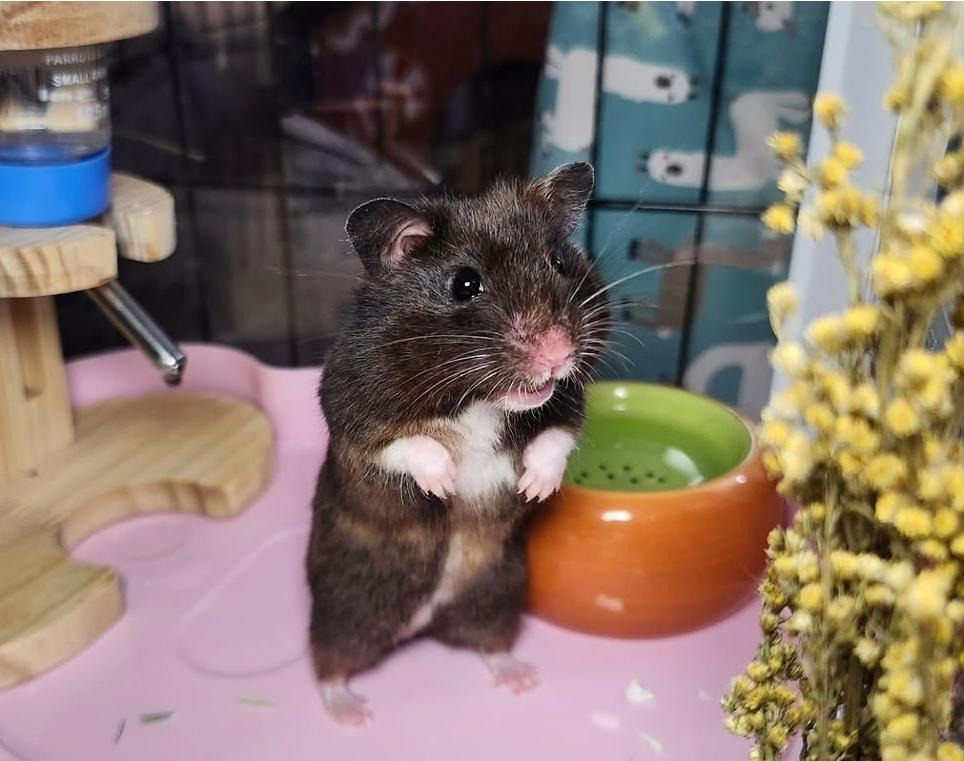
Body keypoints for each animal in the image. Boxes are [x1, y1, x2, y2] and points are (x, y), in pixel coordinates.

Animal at [306, 162, 610, 725]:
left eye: (559, 262)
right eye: (465, 284)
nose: (558, 353)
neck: (478, 397)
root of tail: (421, 623)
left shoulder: (567, 402)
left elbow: (557, 436)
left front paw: (534, 487)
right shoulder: (348, 407)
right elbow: (405, 444)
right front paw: (446, 482)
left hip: (498, 593)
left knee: (489, 640)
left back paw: (520, 679)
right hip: (347, 606)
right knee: (329, 661)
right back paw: (351, 712)